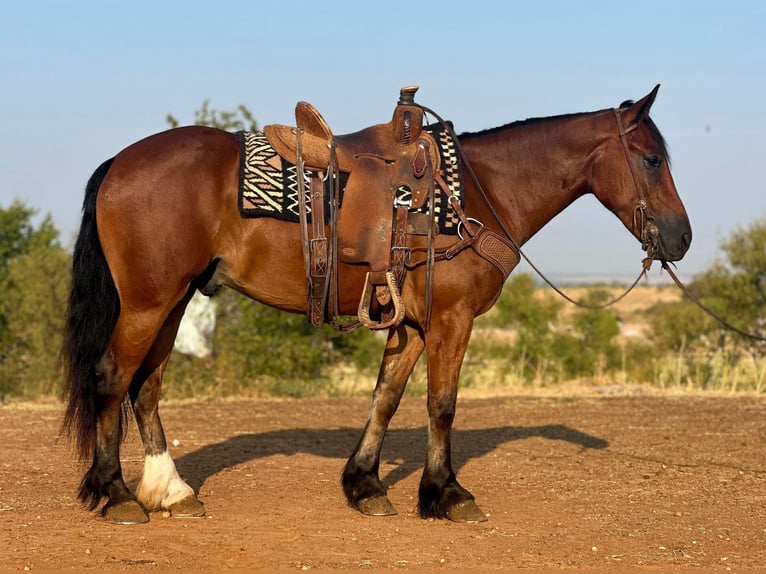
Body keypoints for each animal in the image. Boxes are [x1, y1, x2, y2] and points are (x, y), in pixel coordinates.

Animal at [63, 86, 692, 528]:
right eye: (652, 159)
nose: (681, 238)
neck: (478, 193)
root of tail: (119, 162)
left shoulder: (410, 323)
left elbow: (386, 399)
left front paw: (364, 485)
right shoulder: (450, 320)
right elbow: (442, 405)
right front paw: (446, 495)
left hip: (172, 302)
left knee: (146, 386)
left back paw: (171, 492)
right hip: (148, 303)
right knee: (112, 378)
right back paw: (116, 494)